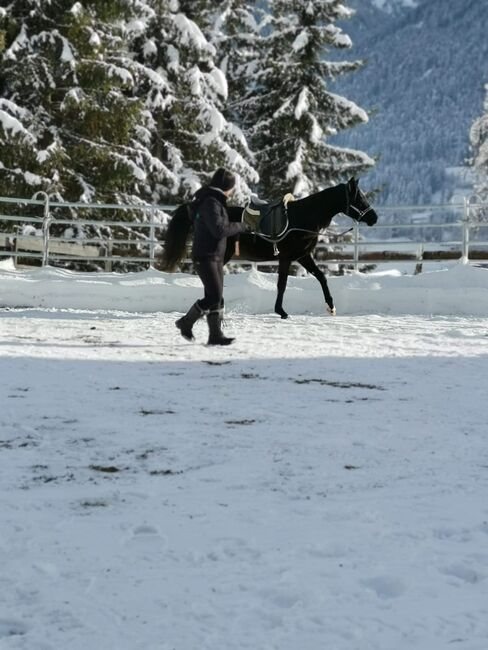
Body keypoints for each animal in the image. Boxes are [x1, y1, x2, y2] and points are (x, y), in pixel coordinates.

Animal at [161, 176, 378, 318]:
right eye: (359, 198)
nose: (374, 217)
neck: (302, 218)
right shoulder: (286, 257)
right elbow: (282, 284)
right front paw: (281, 311)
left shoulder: (303, 256)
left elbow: (321, 277)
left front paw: (331, 307)